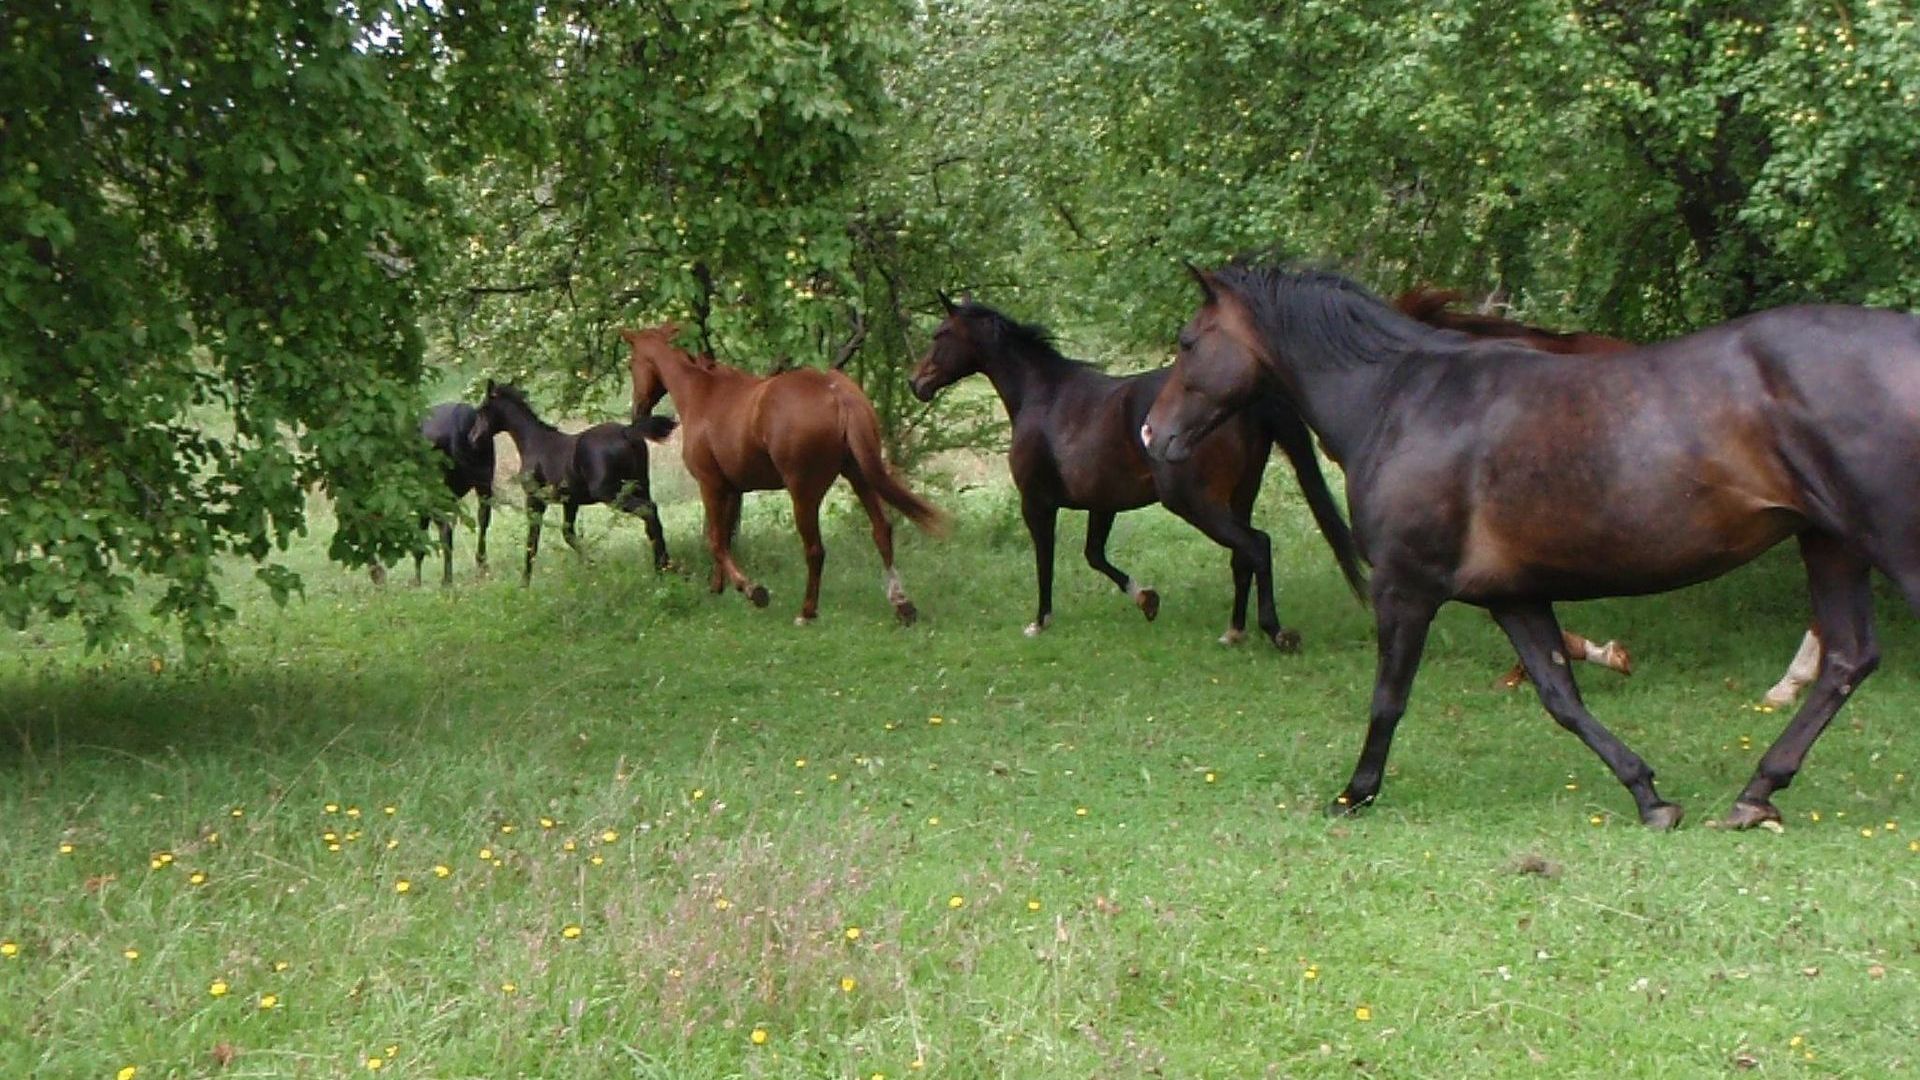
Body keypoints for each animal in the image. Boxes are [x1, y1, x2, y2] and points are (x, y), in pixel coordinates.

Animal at [464, 378, 675, 580]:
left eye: (482, 410)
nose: (472, 439)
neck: (533, 443)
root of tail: (626, 432)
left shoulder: (535, 500)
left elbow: (532, 543)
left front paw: (524, 582)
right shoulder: (570, 501)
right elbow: (568, 534)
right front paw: (592, 565)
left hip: (610, 493)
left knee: (648, 510)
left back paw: (660, 568)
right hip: (641, 485)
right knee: (652, 516)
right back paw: (665, 566)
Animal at [622, 319, 944, 622]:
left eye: (631, 363)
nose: (637, 409)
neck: (702, 394)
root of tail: (837, 392)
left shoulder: (710, 485)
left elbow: (715, 541)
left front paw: (752, 590)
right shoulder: (731, 490)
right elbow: (723, 540)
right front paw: (717, 588)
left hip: (804, 493)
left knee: (815, 550)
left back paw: (807, 612)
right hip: (860, 476)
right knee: (881, 531)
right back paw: (902, 605)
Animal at [902, 294, 1367, 641]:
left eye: (940, 334)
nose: (915, 382)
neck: (1043, 396)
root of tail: (1248, 402)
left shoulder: (1036, 502)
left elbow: (1045, 559)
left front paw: (1040, 620)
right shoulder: (1101, 504)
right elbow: (1095, 556)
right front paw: (1146, 599)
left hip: (1195, 503)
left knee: (1257, 546)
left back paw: (1275, 631)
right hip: (1238, 497)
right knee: (1243, 557)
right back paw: (1234, 631)